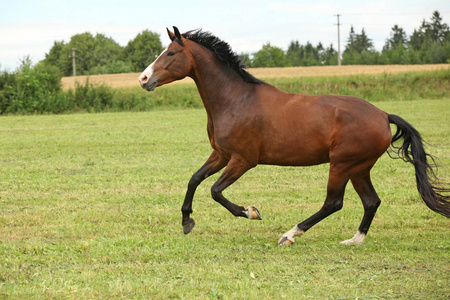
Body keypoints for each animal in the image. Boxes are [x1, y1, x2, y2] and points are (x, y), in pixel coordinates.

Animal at [139, 26, 448, 246]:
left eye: (170, 53)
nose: (143, 79)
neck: (234, 100)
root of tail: (383, 115)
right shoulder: (221, 154)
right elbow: (194, 179)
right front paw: (187, 222)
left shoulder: (243, 160)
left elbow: (215, 190)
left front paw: (251, 212)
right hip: (360, 168)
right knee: (371, 201)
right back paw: (354, 240)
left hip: (342, 165)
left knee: (333, 203)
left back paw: (289, 235)